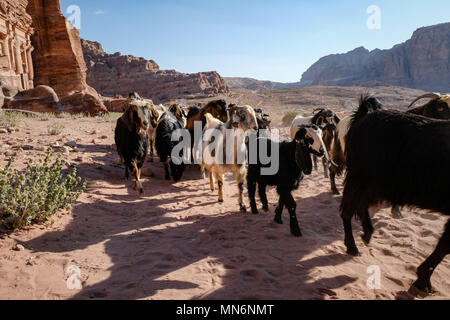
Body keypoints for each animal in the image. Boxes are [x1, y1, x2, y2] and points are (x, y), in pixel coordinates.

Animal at [342, 94, 450, 296]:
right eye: (440, 108)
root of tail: (363, 116)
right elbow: (444, 246)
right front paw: (422, 282)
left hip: (373, 182)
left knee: (360, 205)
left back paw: (367, 234)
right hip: (358, 176)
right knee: (347, 209)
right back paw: (352, 246)